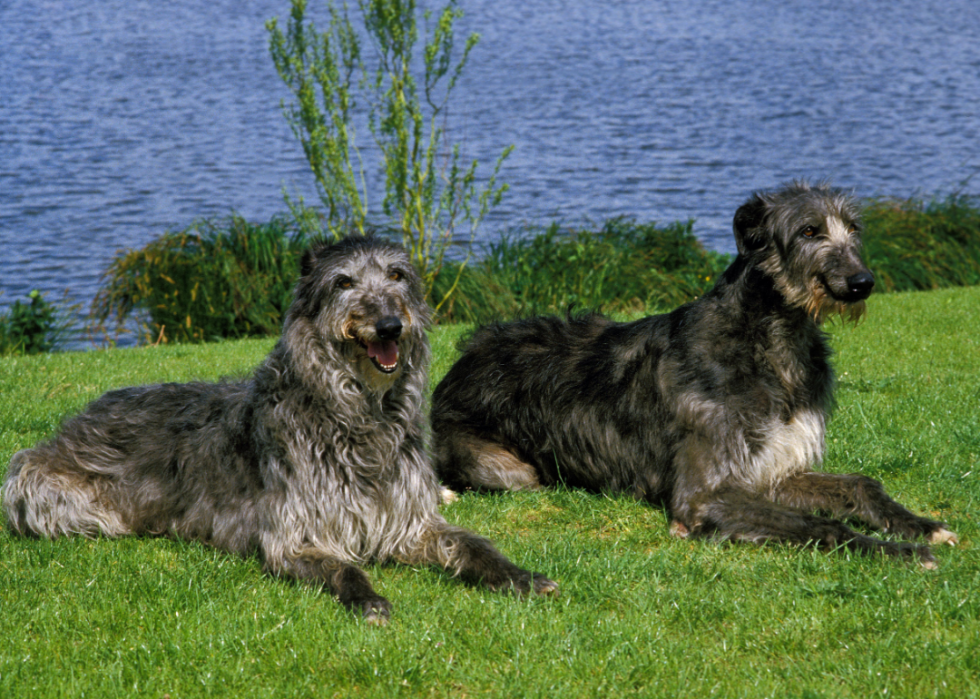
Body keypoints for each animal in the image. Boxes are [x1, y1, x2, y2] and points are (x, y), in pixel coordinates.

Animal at [1, 235, 560, 624]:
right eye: (343, 283)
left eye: (398, 275)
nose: (389, 325)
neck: (357, 417)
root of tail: (78, 418)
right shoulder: (295, 535)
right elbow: (343, 566)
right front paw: (368, 598)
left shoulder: (409, 522)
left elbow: (471, 546)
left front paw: (520, 576)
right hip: (52, 495)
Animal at [434, 185, 956, 568]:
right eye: (809, 231)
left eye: (854, 229)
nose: (862, 283)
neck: (770, 342)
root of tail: (461, 362)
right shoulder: (704, 493)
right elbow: (816, 524)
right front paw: (897, 550)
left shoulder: (773, 470)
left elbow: (859, 484)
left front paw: (922, 525)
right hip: (507, 470)